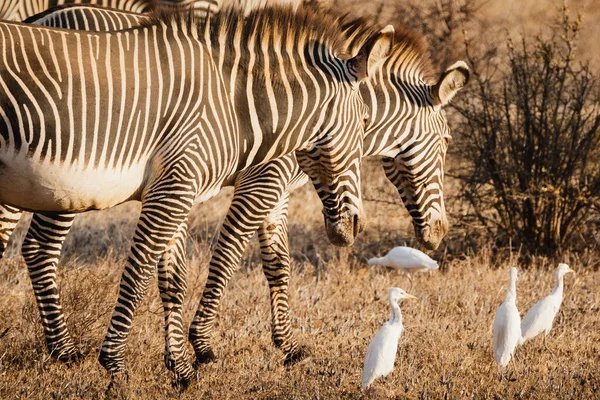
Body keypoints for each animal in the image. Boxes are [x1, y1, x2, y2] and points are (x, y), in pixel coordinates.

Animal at [5, 3, 468, 368]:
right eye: (448, 141)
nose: (441, 233)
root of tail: (43, 15)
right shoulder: (262, 181)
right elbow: (226, 256)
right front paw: (203, 345)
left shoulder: (278, 193)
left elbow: (278, 263)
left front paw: (288, 346)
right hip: (60, 179)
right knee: (39, 247)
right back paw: (64, 351)